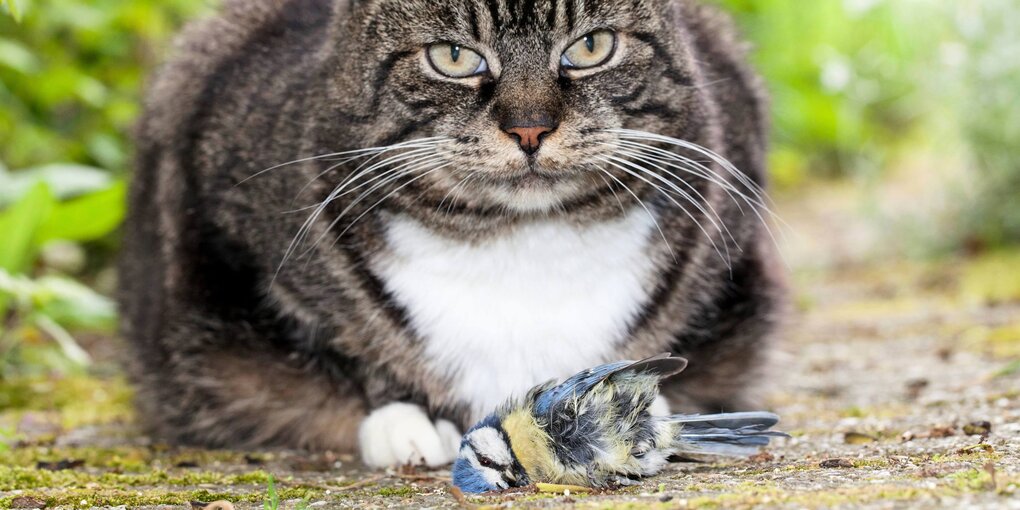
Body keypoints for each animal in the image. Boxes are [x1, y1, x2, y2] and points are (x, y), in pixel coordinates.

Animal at [121, 0, 787, 467]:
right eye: (453, 57)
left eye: (592, 46)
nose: (529, 128)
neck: (522, 239)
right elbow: (343, 343)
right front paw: (403, 421)